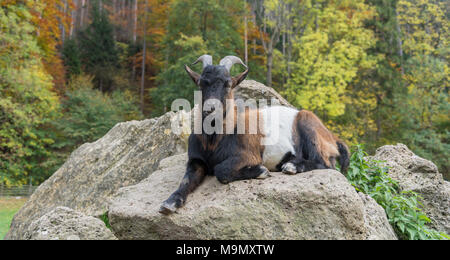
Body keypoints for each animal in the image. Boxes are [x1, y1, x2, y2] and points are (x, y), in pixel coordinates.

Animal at [159, 55, 352, 215]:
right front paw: (169, 202)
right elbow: (186, 180)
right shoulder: (196, 160)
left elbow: (222, 170)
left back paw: (291, 166)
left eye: (228, 84)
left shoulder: (248, 155)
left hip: (309, 126)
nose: (210, 109)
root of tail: (333, 138)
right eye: (201, 83)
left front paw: (261, 171)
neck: (214, 140)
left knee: (326, 164)